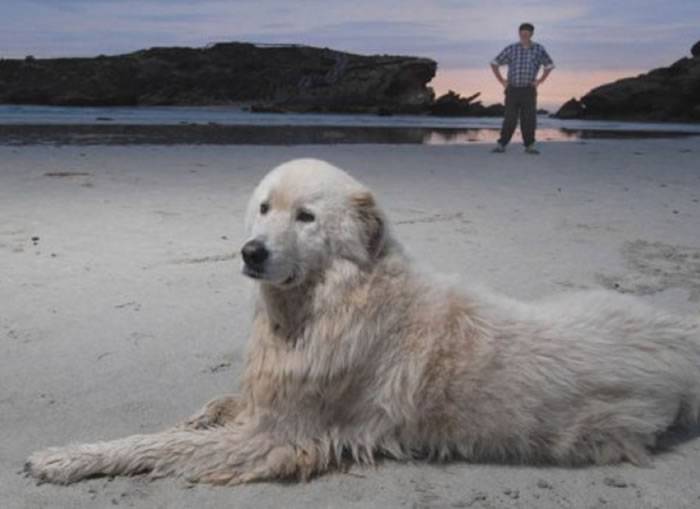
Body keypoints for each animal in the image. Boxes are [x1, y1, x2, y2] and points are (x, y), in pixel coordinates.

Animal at [26, 157, 700, 482]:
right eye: (264, 207)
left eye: (306, 217)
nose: (251, 252)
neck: (327, 301)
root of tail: (679, 332)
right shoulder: (270, 400)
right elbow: (215, 408)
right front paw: (200, 412)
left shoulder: (277, 436)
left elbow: (158, 444)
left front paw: (68, 458)